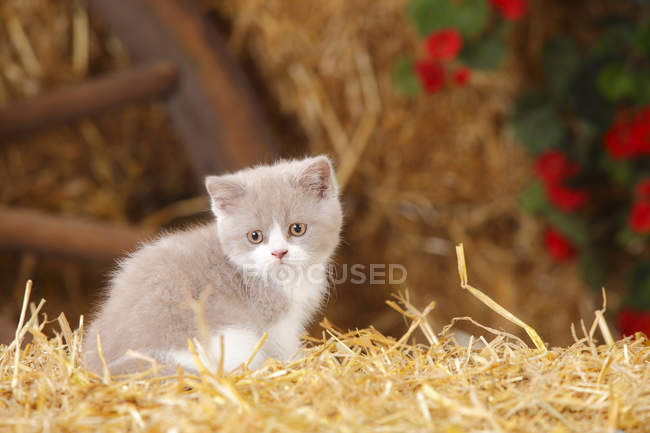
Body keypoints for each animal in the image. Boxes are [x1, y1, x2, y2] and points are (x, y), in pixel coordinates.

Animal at [83, 156, 342, 374]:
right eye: (255, 236)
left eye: (297, 229)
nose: (279, 252)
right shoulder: (275, 320)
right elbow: (285, 346)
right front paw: (299, 364)